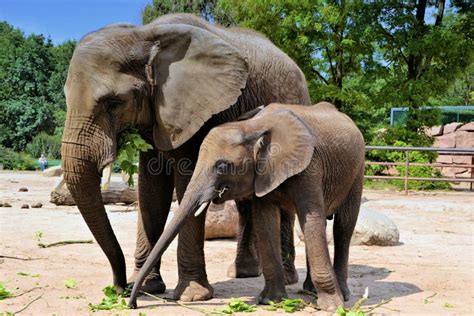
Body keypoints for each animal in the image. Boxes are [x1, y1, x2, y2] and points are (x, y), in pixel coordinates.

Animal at [61, 14, 310, 302]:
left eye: (114, 103)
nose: (120, 289)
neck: (145, 35)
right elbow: (150, 190)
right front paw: (147, 288)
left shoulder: (202, 110)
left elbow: (187, 183)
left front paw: (192, 295)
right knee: (246, 201)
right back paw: (243, 273)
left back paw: (288, 278)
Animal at [130, 102, 366, 310]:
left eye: (222, 166)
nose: (132, 303)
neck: (252, 127)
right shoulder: (261, 174)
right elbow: (265, 221)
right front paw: (271, 301)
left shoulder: (309, 166)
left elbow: (312, 219)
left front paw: (332, 307)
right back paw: (310, 291)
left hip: (357, 171)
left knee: (342, 228)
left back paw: (341, 294)